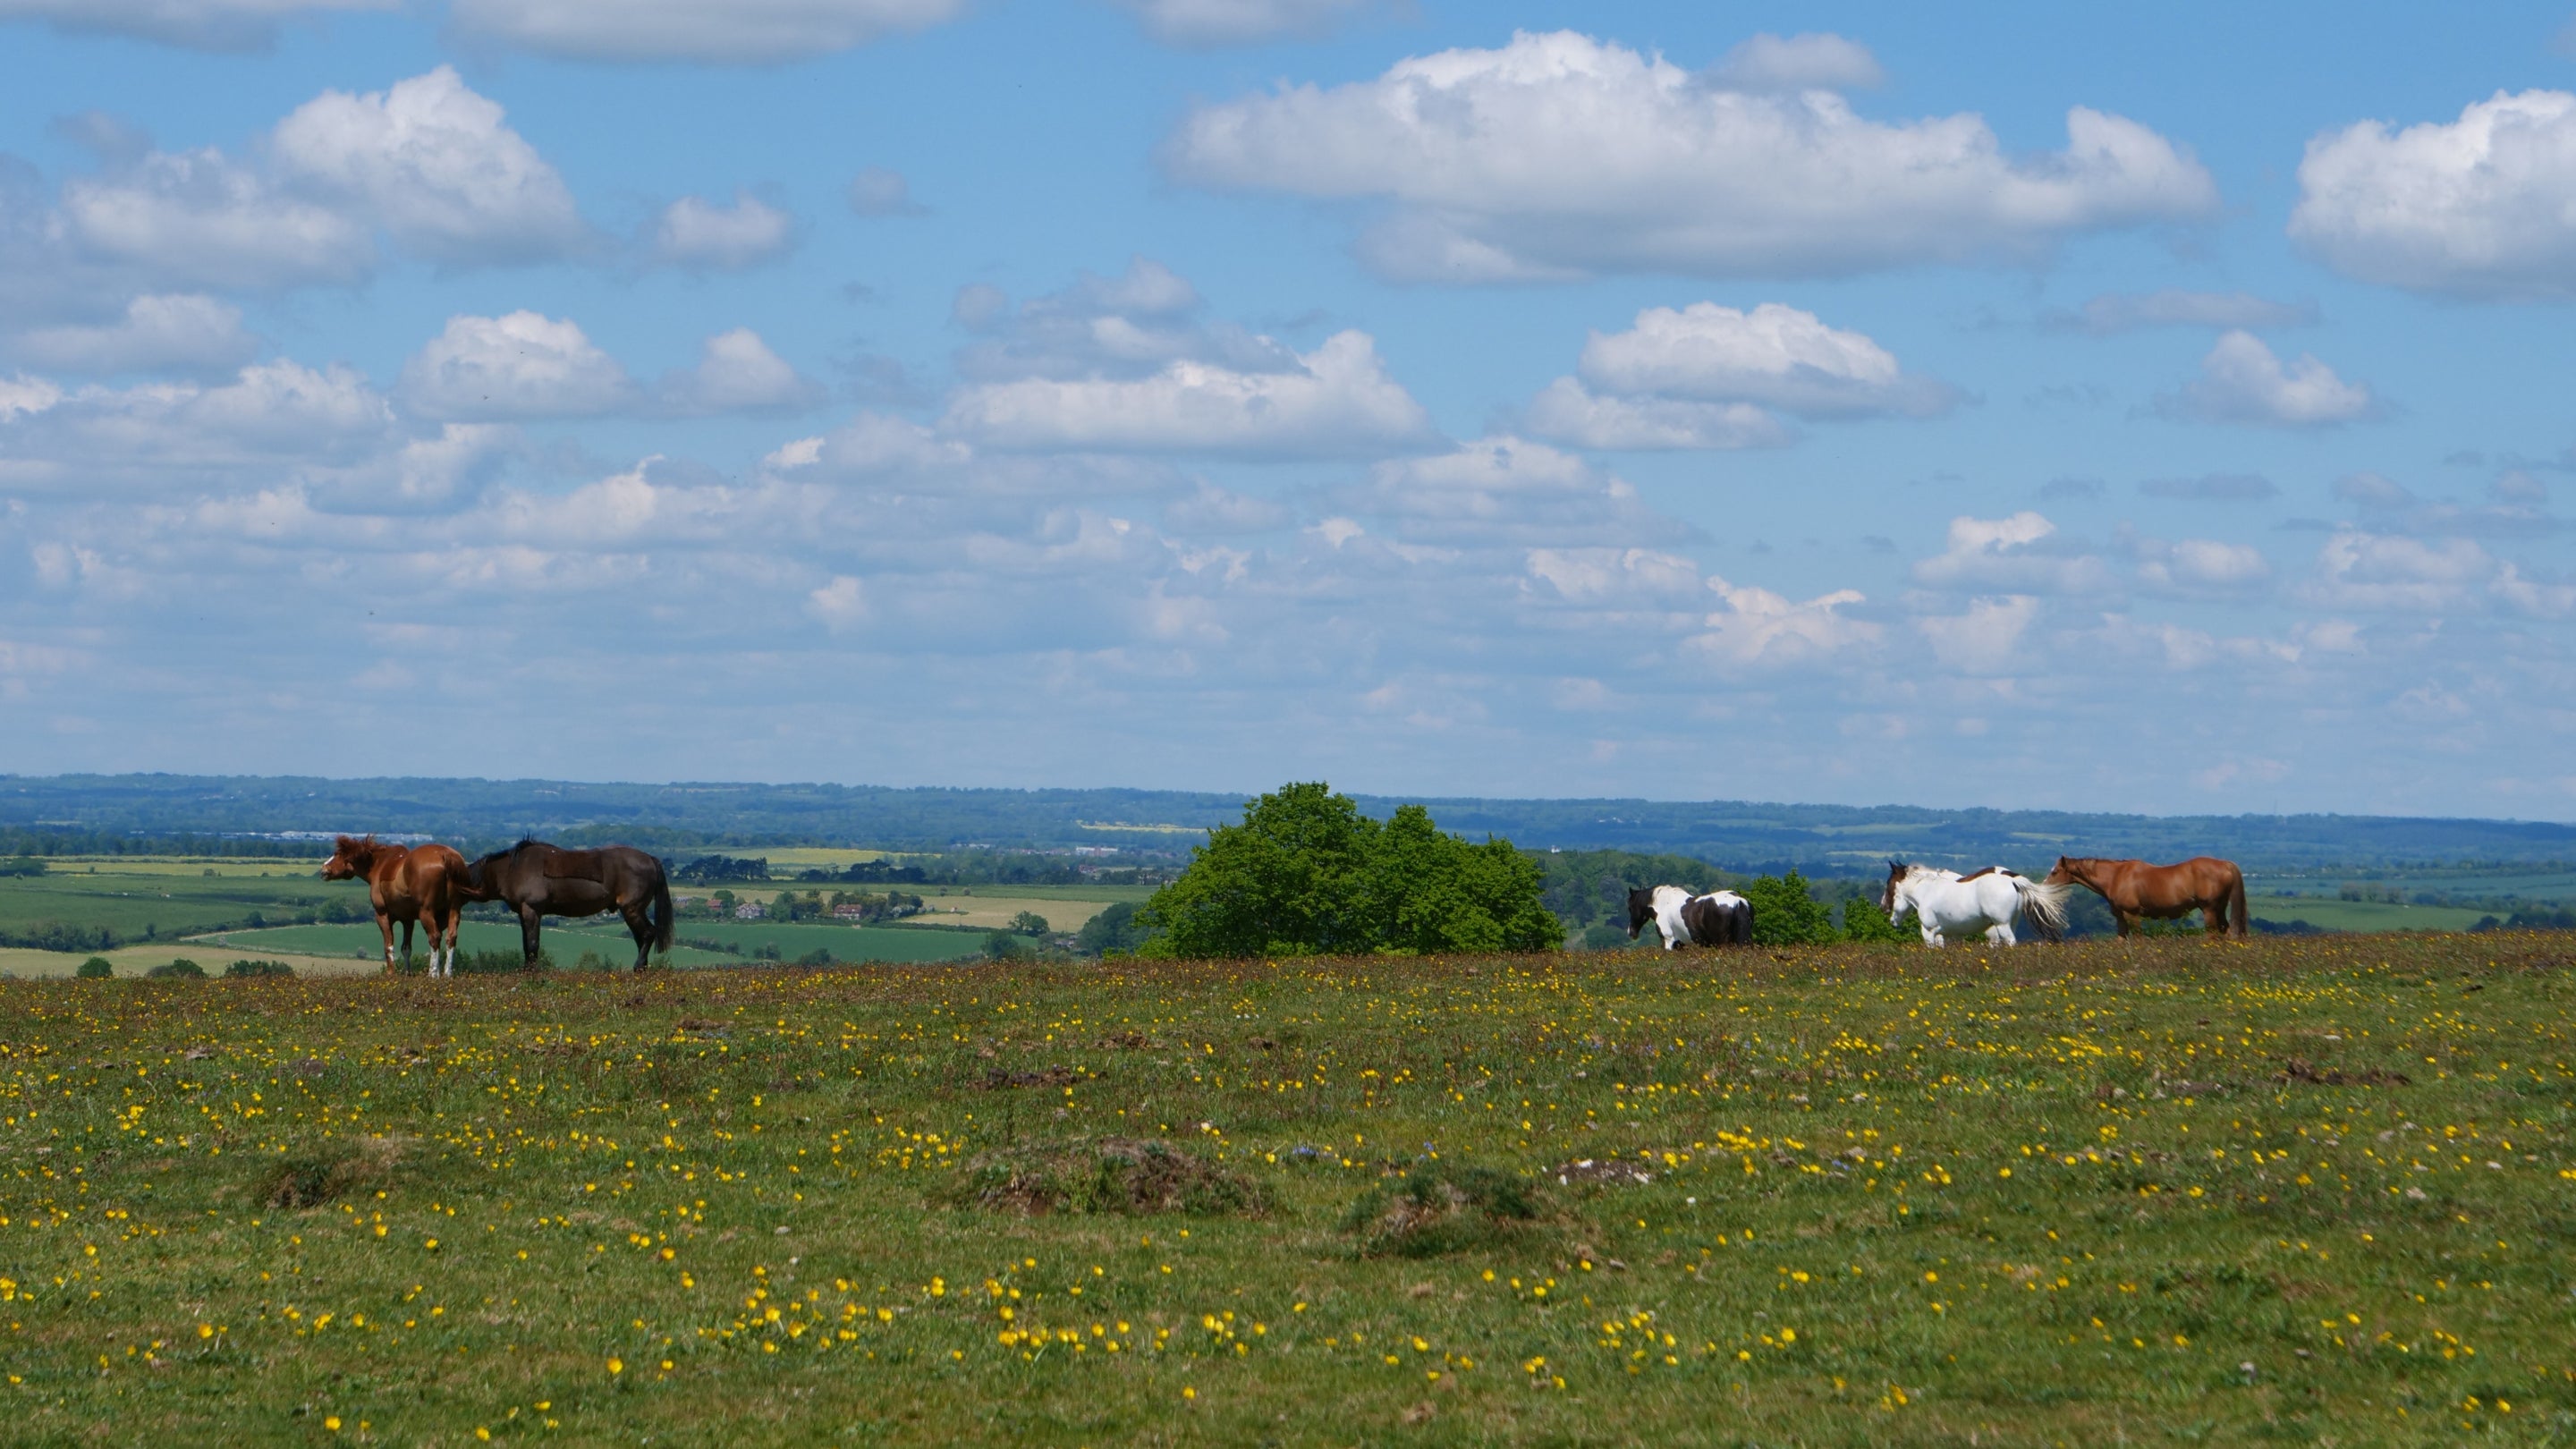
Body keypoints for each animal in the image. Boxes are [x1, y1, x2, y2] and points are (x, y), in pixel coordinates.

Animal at [322, 834, 472, 976]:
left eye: (337, 854)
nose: (324, 869)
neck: (379, 865)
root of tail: (445, 856)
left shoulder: (383, 915)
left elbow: (388, 946)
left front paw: (390, 973)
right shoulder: (408, 920)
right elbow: (406, 948)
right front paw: (407, 974)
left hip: (426, 913)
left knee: (434, 937)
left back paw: (433, 974)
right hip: (454, 910)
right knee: (451, 938)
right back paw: (447, 974)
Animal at [462, 839, 673, 971]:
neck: (511, 870)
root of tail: (650, 859)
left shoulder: (532, 910)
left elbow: (532, 943)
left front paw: (531, 972)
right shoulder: (523, 912)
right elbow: (526, 944)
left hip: (632, 909)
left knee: (648, 934)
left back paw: (638, 966)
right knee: (641, 937)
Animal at [1626, 884, 1754, 949]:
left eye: (1630, 908)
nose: (1631, 932)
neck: (1663, 904)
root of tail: (1739, 901)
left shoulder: (1668, 941)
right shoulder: (1680, 944)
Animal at [1880, 861, 2068, 947]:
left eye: (1889, 884)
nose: (1883, 907)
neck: (1926, 890)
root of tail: (2012, 880)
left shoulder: (1929, 932)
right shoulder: (1947, 934)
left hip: (2002, 925)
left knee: (2010, 942)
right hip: (2011, 923)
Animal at [2044, 856, 2248, 938]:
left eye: (2055, 872)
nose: (2044, 886)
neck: (2116, 876)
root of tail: (2226, 864)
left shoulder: (2132, 915)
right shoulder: (2121, 918)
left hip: (2209, 910)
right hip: (2219, 909)